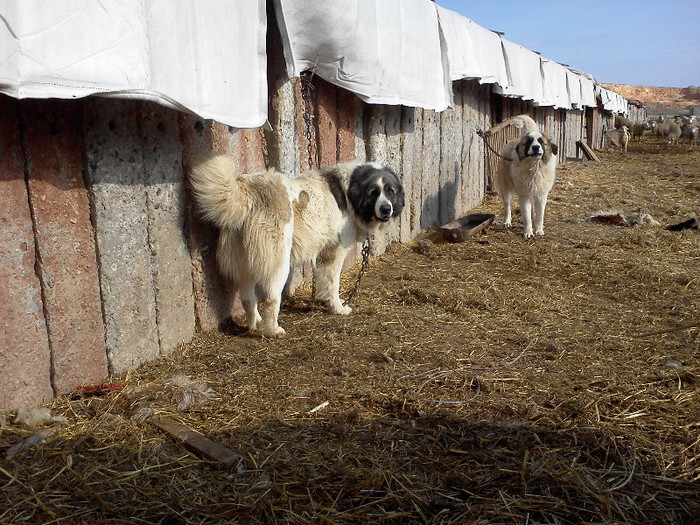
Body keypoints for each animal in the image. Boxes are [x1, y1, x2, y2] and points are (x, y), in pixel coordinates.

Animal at [189, 154, 404, 338]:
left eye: (390, 191)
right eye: (374, 193)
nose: (386, 209)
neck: (350, 191)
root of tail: (250, 192)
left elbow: (323, 282)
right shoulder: (335, 252)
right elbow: (333, 284)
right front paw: (338, 308)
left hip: (245, 264)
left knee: (247, 299)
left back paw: (255, 323)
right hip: (279, 263)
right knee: (271, 299)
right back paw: (272, 330)